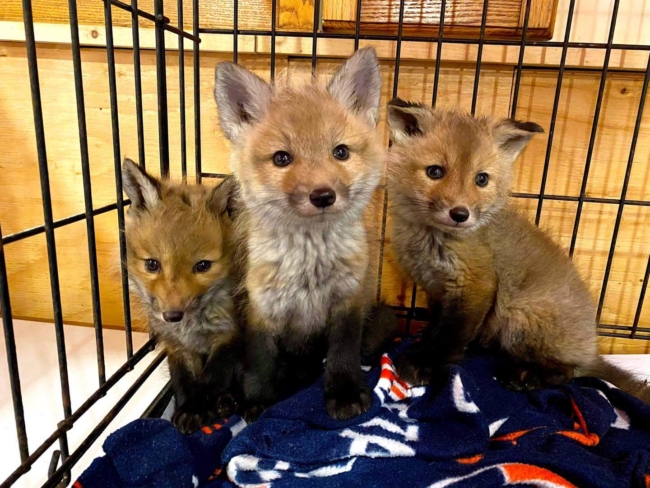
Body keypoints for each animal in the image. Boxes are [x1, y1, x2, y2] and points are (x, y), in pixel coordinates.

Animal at [122, 159, 245, 433]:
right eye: (152, 264)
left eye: (203, 266)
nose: (172, 315)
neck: (192, 327)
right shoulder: (176, 345)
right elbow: (181, 380)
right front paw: (184, 407)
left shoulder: (228, 336)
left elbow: (211, 378)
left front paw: (195, 410)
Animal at [213, 47, 396, 420]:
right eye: (282, 158)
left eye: (340, 152)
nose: (323, 195)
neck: (310, 265)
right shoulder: (262, 310)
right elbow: (261, 362)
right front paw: (258, 401)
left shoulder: (348, 300)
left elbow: (343, 353)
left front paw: (344, 392)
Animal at [385, 101, 650, 402]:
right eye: (435, 172)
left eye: (481, 179)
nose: (460, 214)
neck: (430, 241)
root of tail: (592, 348)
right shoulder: (437, 290)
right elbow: (437, 324)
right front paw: (424, 340)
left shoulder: (475, 286)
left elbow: (450, 335)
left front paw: (424, 363)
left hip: (518, 316)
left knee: (568, 373)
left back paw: (526, 377)